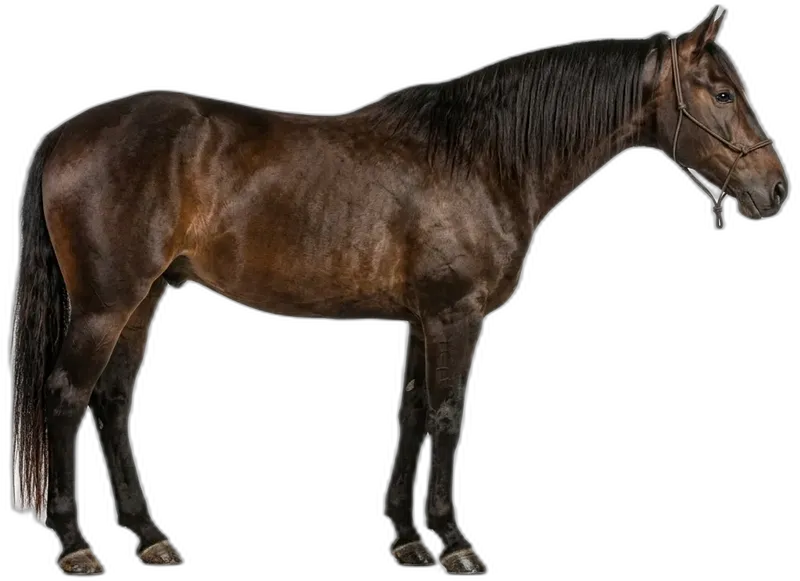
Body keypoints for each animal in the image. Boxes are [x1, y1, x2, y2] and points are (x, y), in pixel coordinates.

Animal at [9, 4, 789, 576]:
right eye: (723, 93)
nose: (776, 189)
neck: (482, 155)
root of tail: (65, 133)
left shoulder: (421, 318)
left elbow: (411, 412)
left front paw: (409, 537)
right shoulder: (454, 315)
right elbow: (447, 413)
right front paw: (455, 541)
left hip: (143, 300)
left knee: (113, 403)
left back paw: (150, 536)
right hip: (106, 305)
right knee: (67, 398)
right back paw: (76, 546)